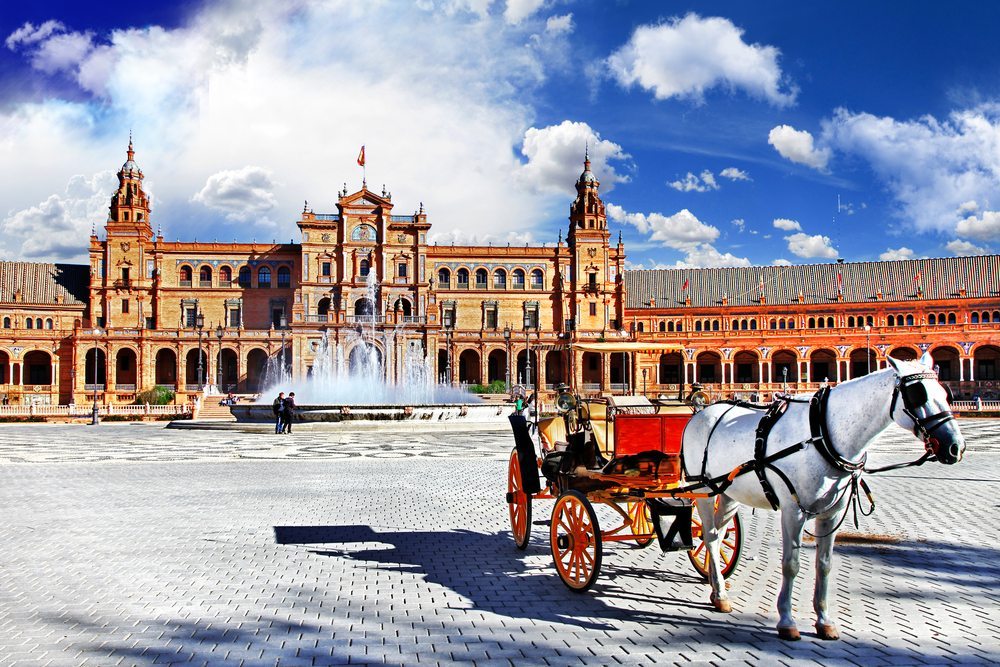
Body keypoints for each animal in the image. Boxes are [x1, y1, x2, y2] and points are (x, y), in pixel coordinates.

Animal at [684, 354, 964, 640]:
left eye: (946, 393)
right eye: (917, 394)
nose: (955, 447)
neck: (823, 434)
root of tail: (702, 413)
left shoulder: (832, 512)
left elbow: (825, 564)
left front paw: (824, 621)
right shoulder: (792, 510)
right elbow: (791, 564)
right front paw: (787, 621)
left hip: (729, 491)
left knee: (716, 535)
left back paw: (717, 589)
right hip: (702, 489)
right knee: (710, 536)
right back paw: (719, 591)